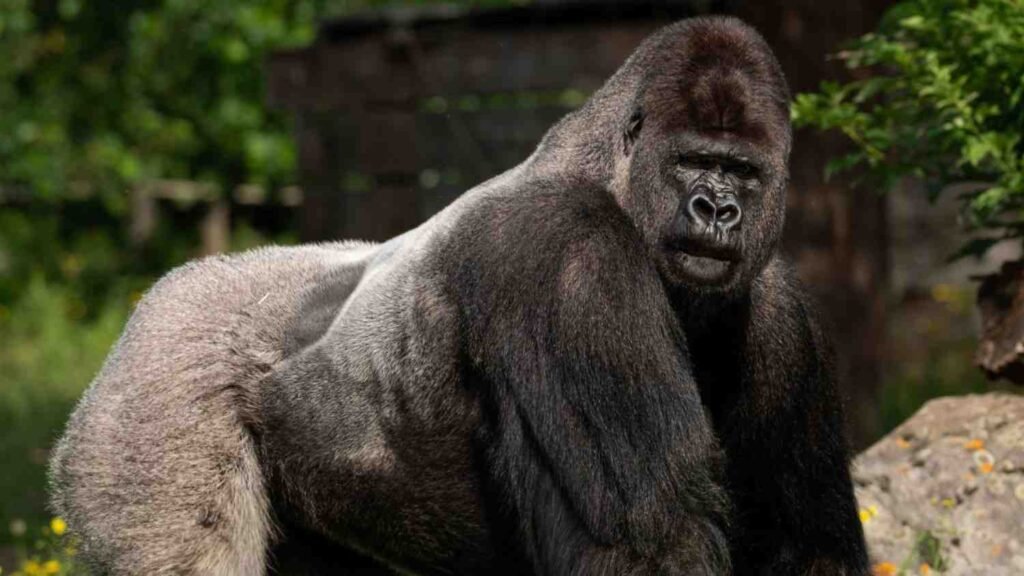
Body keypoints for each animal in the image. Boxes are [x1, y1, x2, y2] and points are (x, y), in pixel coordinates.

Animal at [50, 16, 869, 575]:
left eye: (743, 174)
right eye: (695, 162)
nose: (716, 210)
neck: (607, 170)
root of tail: (152, 303)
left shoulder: (778, 310)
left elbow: (803, 542)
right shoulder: (564, 249)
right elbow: (651, 542)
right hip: (147, 399)